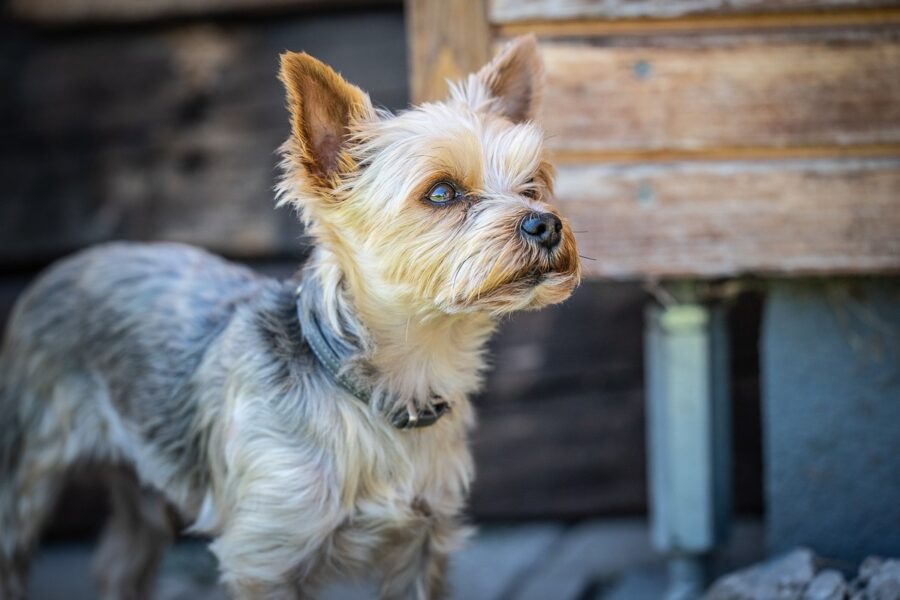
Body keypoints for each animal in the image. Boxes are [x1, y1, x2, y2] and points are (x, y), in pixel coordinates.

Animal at [0, 35, 576, 596]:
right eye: (441, 192)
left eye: (532, 184)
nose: (545, 224)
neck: (390, 387)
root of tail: (67, 263)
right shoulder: (265, 557)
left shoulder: (423, 547)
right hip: (25, 469)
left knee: (121, 562)